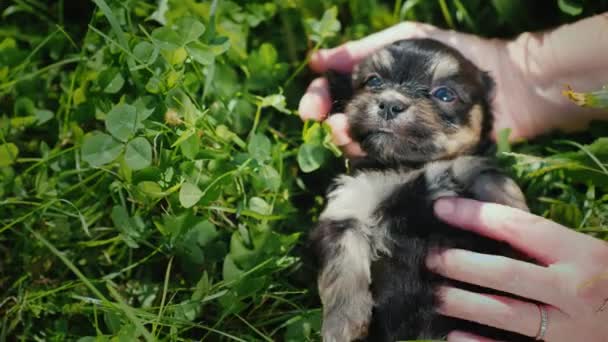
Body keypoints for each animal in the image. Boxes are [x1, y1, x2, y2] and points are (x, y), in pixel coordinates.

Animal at [312, 38, 528, 340]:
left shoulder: (473, 170)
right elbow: (340, 263)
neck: (409, 167)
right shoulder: (347, 207)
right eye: (373, 81)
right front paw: (342, 324)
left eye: (445, 94)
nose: (390, 104)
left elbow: (500, 186)